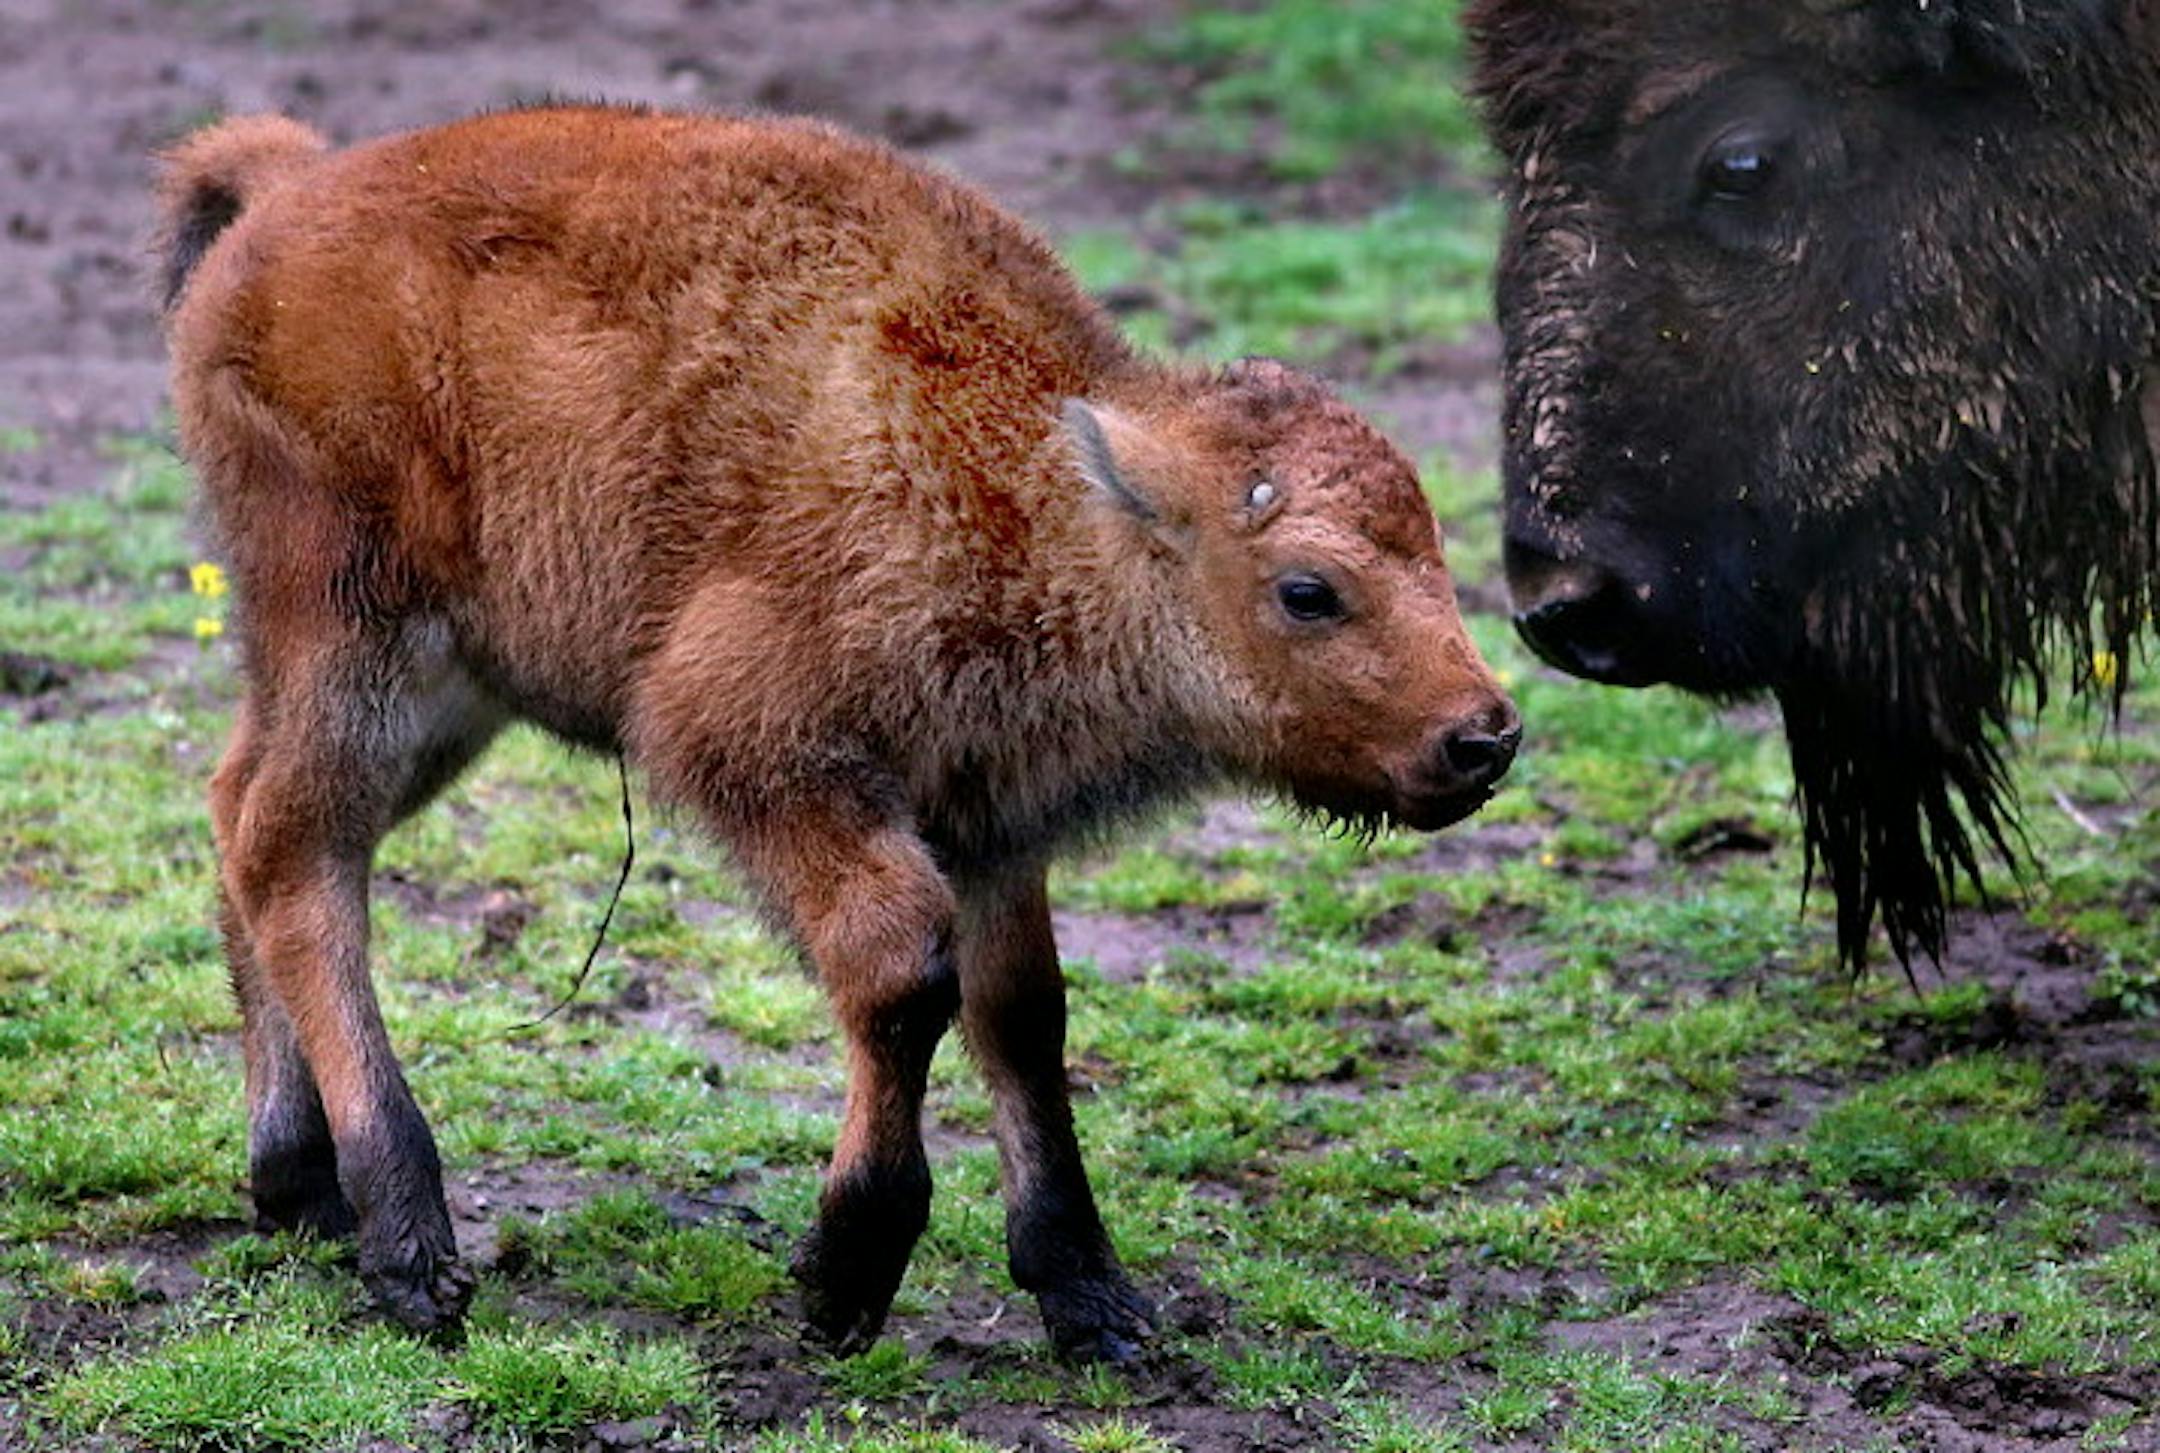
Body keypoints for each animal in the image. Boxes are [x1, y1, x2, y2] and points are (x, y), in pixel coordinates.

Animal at [154, 106, 1519, 1358]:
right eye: (1308, 589)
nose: (1485, 737)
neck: (1032, 482)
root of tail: (292, 191)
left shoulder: (988, 818)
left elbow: (1022, 1016)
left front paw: (1095, 1301)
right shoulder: (763, 751)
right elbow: (904, 976)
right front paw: (844, 1278)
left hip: (437, 694)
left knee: (242, 815)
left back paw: (299, 1188)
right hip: (360, 640)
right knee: (292, 851)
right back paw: (410, 1248)